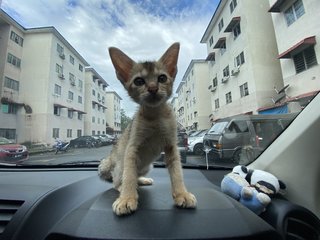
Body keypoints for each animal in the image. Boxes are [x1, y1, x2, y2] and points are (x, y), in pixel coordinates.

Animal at [99, 41, 196, 216]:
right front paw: (127, 199)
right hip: (121, 166)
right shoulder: (132, 149)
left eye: (162, 78)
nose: (152, 88)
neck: (155, 117)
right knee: (118, 181)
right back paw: (123, 188)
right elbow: (129, 176)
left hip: (147, 166)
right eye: (139, 81)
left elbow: (177, 172)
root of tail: (111, 160)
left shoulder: (171, 147)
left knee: (135, 176)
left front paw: (182, 194)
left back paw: (141, 181)